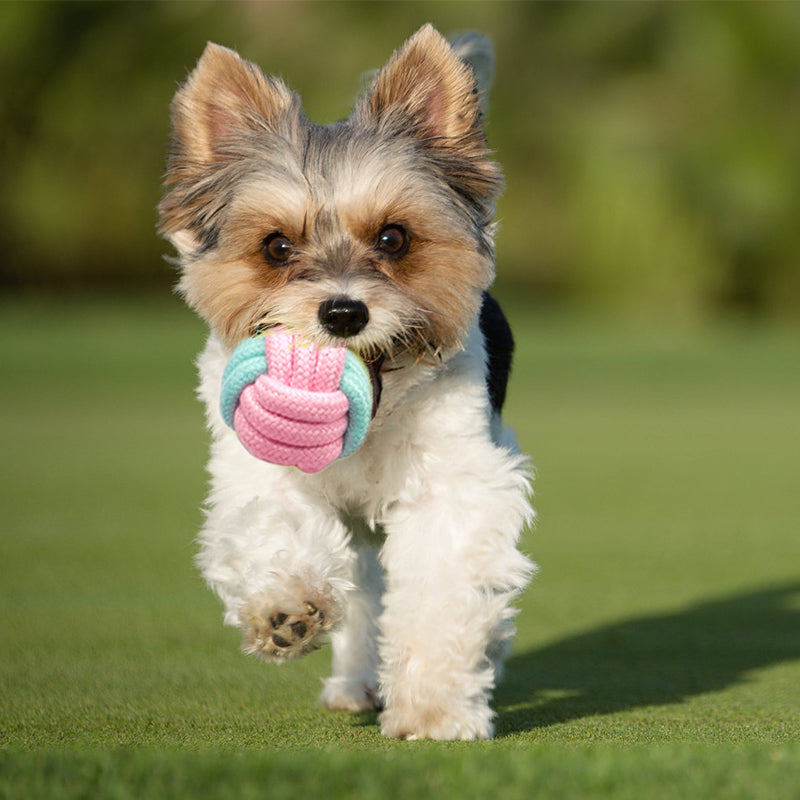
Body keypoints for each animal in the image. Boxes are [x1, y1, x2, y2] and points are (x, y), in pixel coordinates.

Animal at [159, 21, 536, 740]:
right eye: (277, 246)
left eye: (394, 238)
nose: (342, 312)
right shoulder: (255, 471)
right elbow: (270, 526)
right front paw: (286, 609)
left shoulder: (454, 486)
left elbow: (441, 593)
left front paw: (435, 709)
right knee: (362, 592)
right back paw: (354, 680)